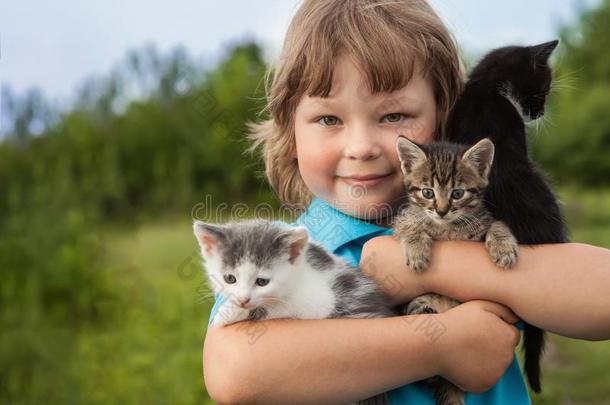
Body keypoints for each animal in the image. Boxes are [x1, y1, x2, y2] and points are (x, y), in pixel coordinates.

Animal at [392, 137, 516, 404]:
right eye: (427, 192)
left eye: (458, 194)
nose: (441, 211)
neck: (447, 227)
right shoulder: (402, 219)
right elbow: (410, 224)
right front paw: (417, 251)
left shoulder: (485, 220)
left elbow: (497, 224)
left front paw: (503, 247)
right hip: (421, 306)